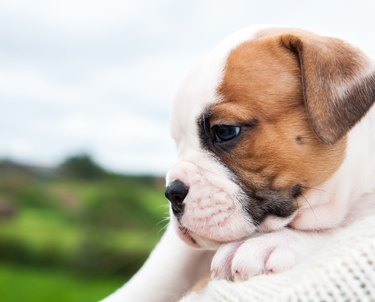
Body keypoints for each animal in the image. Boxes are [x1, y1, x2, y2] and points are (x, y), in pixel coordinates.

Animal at [104, 26, 375, 302]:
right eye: (177, 143)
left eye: (225, 132)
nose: (172, 192)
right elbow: (158, 274)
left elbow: (340, 230)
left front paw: (271, 242)